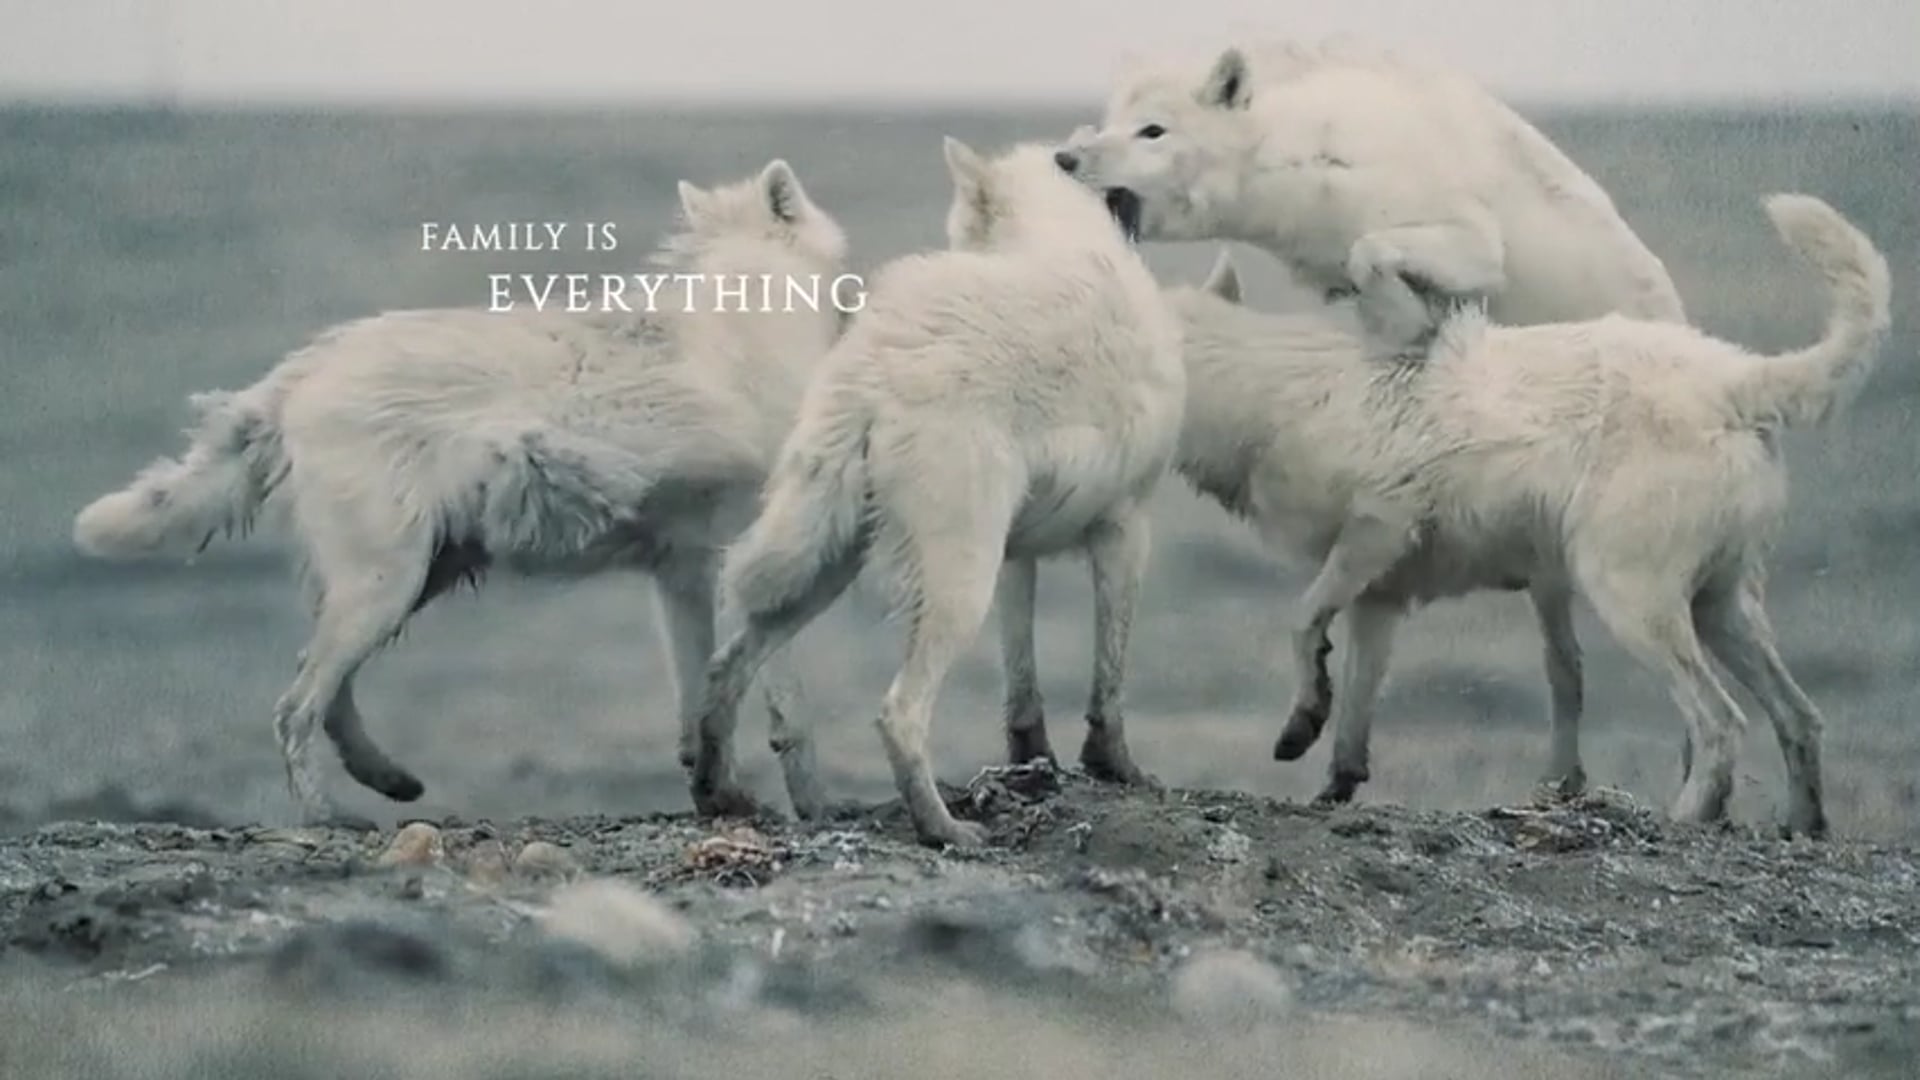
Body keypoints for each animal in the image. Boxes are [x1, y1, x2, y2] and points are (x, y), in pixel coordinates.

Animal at [72, 160, 849, 826]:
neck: (748, 319)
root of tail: (303, 371)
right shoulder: (749, 564)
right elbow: (786, 714)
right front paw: (813, 808)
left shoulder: (683, 572)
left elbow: (699, 708)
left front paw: (721, 799)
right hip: (389, 585)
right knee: (295, 706)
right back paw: (329, 816)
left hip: (410, 580)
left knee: (319, 688)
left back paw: (386, 779)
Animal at [685, 137, 1186, 848]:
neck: (1058, 235)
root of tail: (873, 376)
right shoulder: (1125, 529)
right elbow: (1108, 682)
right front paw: (1116, 768)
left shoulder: (1016, 558)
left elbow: (1023, 689)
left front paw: (1038, 762)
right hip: (953, 587)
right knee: (898, 713)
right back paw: (943, 828)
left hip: (823, 569)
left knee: (727, 667)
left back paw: (718, 792)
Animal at [1055, 39, 1686, 326]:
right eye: (1109, 121)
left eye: (1152, 131)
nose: (1065, 157)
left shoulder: (1466, 231)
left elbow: (1377, 249)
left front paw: (1410, 314)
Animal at [1166, 194, 1887, 836]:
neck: (1267, 391)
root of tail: (1736, 382)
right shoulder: (1379, 596)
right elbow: (1356, 705)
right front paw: (1333, 778)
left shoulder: (1376, 531)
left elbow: (1301, 622)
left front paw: (1300, 722)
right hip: (1719, 609)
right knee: (1800, 718)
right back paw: (1803, 825)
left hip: (1634, 605)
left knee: (1721, 723)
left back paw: (1685, 819)